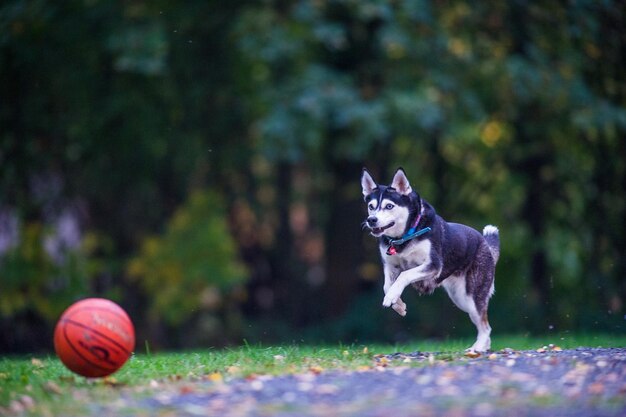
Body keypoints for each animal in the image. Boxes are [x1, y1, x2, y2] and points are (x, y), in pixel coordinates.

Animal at [360, 167, 498, 350]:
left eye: (389, 206)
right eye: (371, 206)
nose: (371, 220)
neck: (404, 237)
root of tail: (486, 244)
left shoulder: (433, 265)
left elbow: (404, 275)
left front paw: (392, 298)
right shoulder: (390, 266)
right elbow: (387, 286)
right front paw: (398, 304)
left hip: (471, 297)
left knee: (486, 326)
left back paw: (477, 347)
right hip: (459, 298)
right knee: (484, 326)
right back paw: (482, 347)